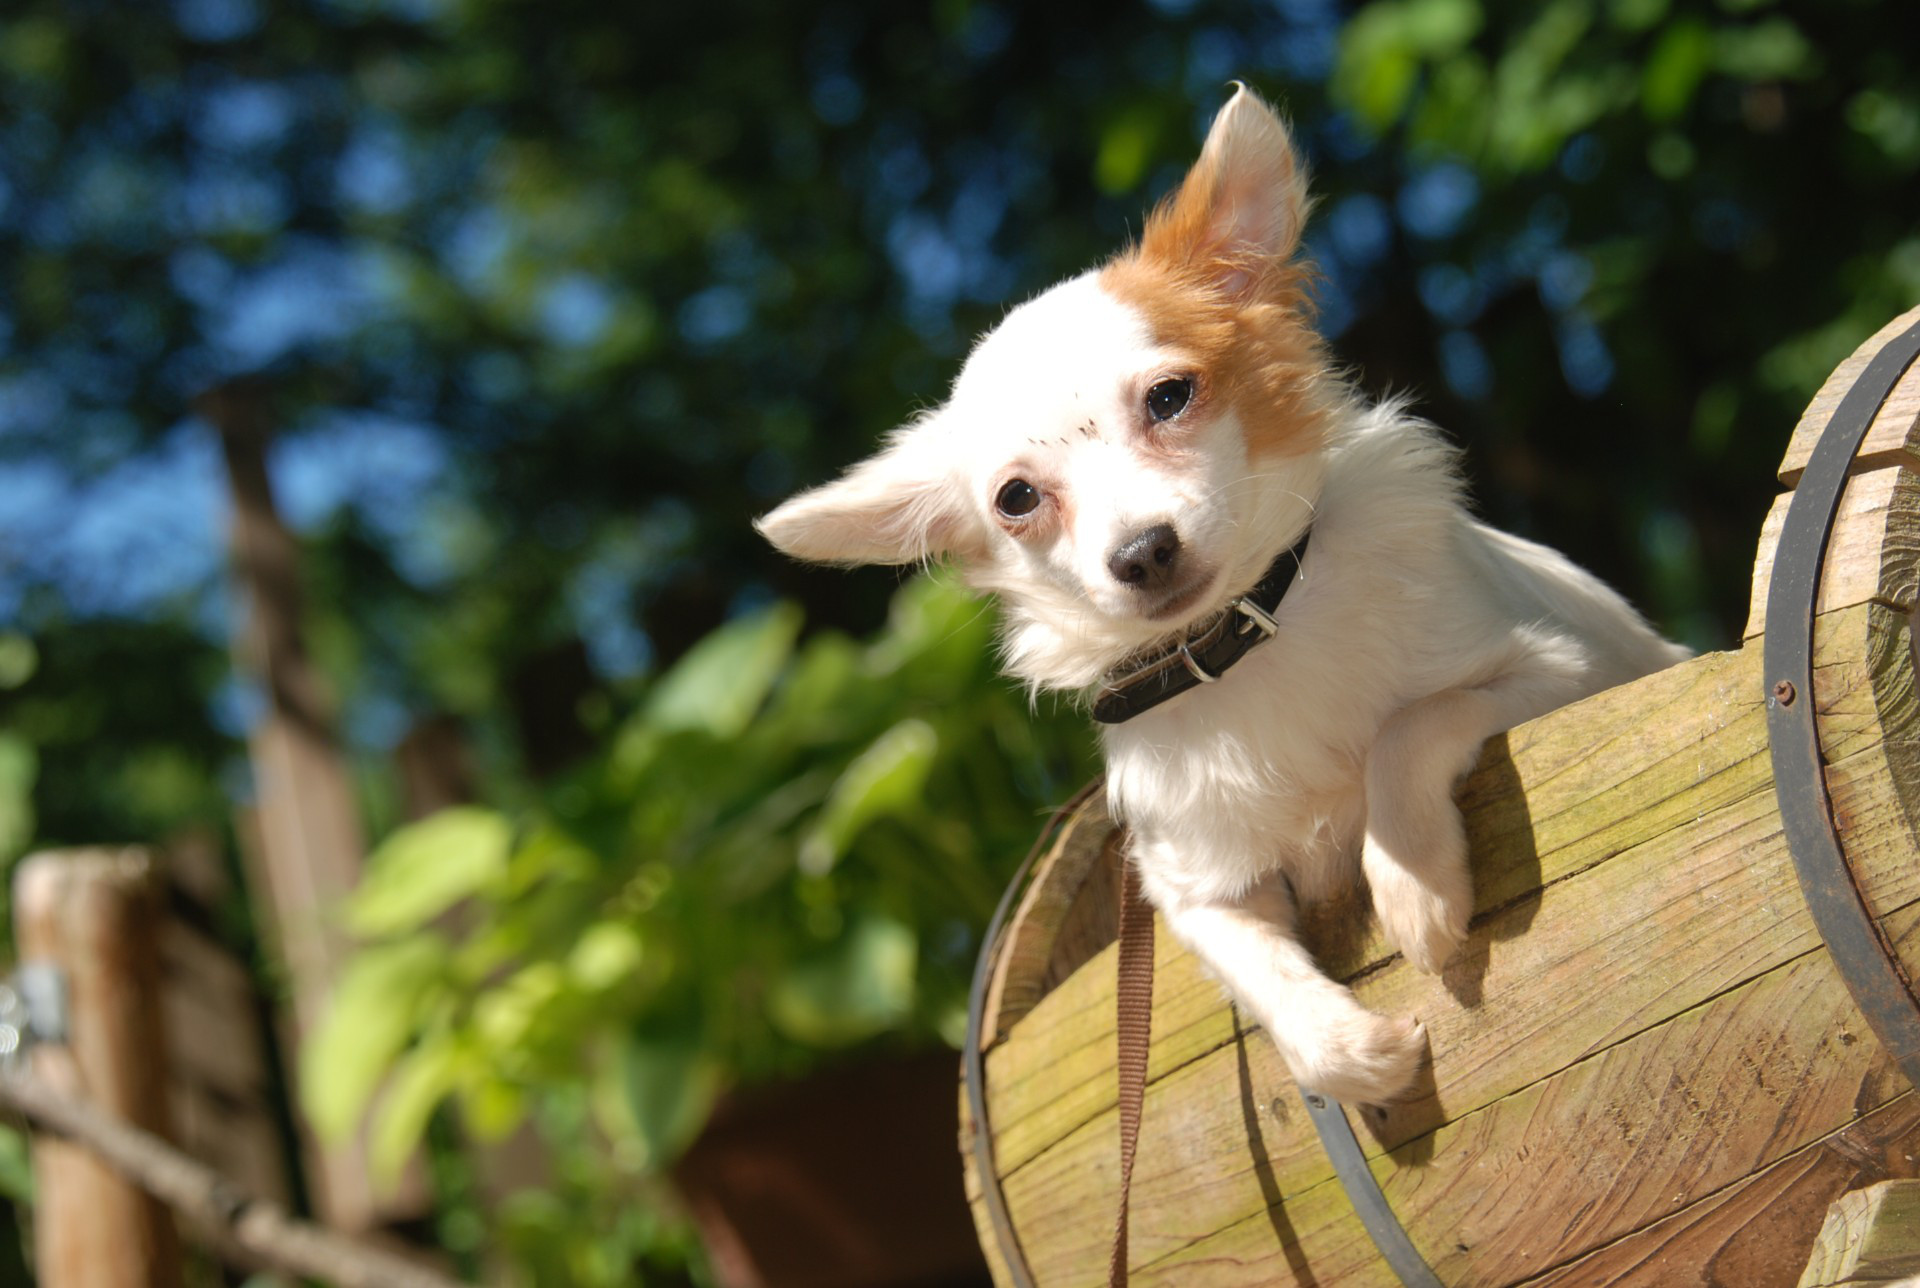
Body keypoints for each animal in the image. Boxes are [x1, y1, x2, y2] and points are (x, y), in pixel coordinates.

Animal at [756, 85, 1689, 1105]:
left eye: (1170, 397)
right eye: (1016, 500)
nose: (1142, 552)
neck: (1249, 636)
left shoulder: (1570, 670)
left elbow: (1406, 731)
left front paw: (1414, 887)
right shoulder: (1195, 884)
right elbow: (1259, 972)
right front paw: (1350, 1055)